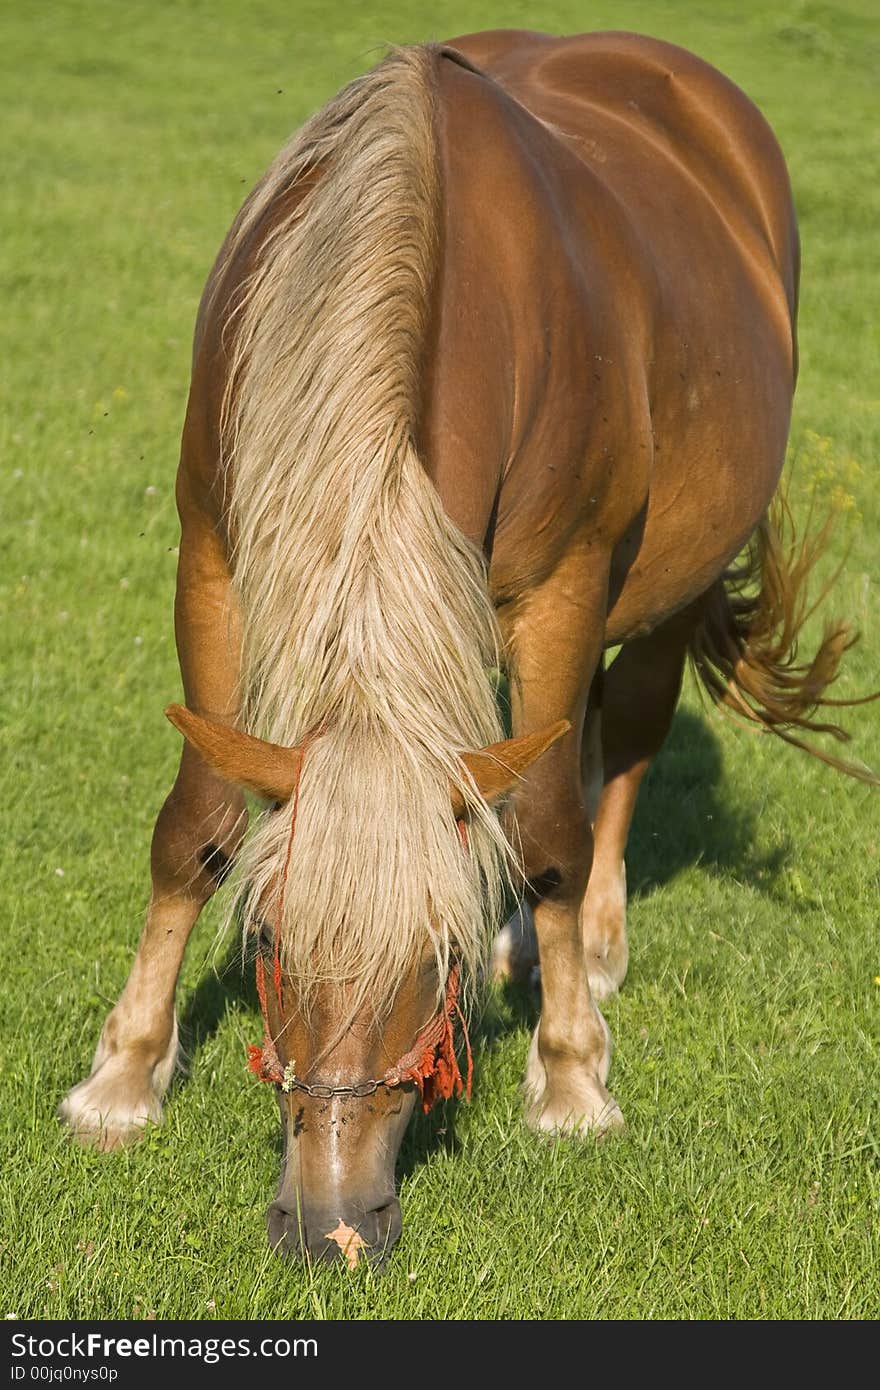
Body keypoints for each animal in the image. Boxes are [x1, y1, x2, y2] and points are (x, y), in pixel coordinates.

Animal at [60, 32, 873, 1273]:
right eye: (270, 940)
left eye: (434, 959)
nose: (334, 1226)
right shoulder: (211, 555)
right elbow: (195, 826)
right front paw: (123, 1076)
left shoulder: (560, 590)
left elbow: (546, 833)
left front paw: (572, 1076)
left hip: (670, 583)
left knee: (619, 745)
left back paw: (591, 945)